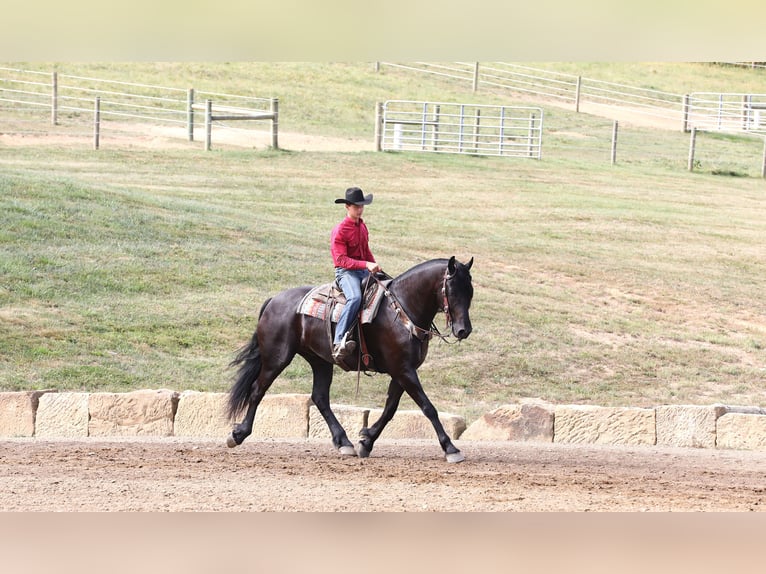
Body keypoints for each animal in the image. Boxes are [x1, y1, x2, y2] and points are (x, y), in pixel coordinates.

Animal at [226, 256, 474, 464]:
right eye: (452, 291)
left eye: (470, 292)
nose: (464, 330)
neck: (401, 310)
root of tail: (274, 300)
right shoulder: (403, 370)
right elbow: (427, 407)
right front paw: (451, 448)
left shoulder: (402, 371)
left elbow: (390, 408)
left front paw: (367, 440)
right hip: (277, 357)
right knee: (257, 390)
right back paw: (238, 434)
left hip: (320, 361)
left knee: (320, 398)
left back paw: (344, 442)